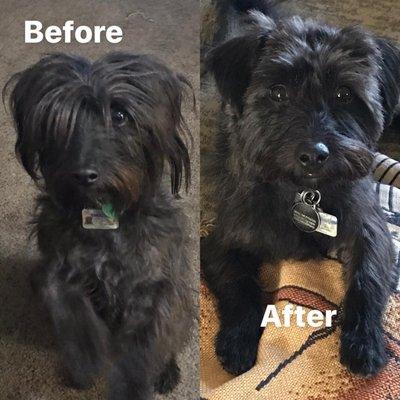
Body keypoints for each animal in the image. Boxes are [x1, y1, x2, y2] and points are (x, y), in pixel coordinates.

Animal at [4, 51, 195, 398]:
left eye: (118, 115)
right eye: (57, 120)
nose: (83, 175)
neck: (105, 219)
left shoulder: (155, 283)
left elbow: (144, 346)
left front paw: (132, 383)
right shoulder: (56, 264)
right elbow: (69, 306)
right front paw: (86, 358)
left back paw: (166, 371)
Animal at [202, 0, 400, 378]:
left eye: (343, 94)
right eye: (278, 93)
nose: (314, 154)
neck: (304, 192)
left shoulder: (370, 230)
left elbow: (366, 280)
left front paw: (364, 341)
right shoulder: (222, 242)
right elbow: (240, 286)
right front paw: (237, 340)